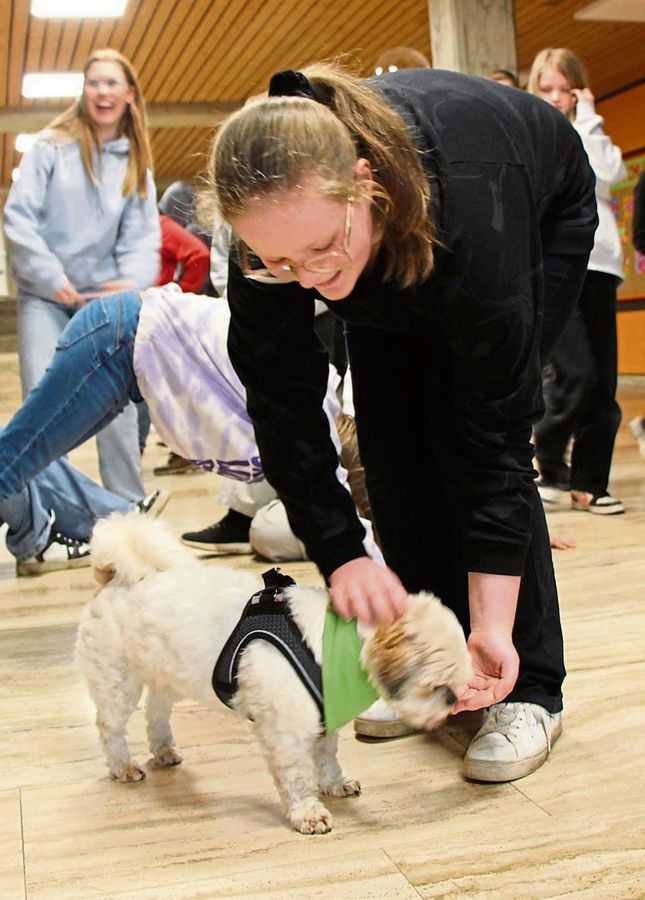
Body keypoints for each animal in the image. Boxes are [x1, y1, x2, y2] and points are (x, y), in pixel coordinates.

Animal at [75, 512, 470, 836]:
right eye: (438, 687)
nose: (454, 702)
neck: (328, 646)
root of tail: (119, 579)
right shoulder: (286, 732)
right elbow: (296, 776)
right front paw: (308, 812)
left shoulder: (321, 717)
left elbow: (326, 758)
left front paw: (334, 782)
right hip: (118, 681)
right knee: (110, 726)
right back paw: (122, 766)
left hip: (166, 675)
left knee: (156, 713)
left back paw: (163, 750)